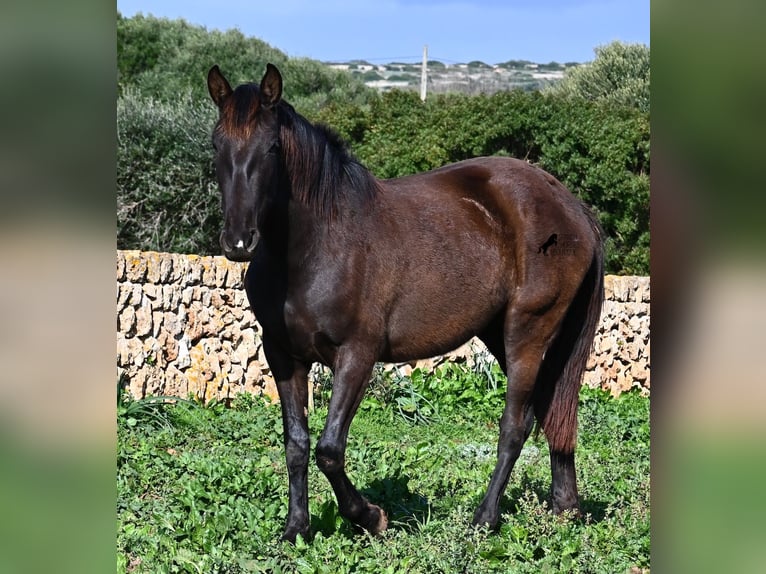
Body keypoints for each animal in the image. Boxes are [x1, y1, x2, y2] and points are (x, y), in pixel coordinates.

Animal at [207, 64, 604, 544]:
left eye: (271, 147)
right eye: (217, 144)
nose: (238, 241)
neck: (315, 245)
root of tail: (572, 207)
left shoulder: (356, 356)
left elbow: (329, 449)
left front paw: (371, 517)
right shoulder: (283, 356)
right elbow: (297, 444)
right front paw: (296, 529)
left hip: (527, 333)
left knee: (516, 425)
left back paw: (484, 519)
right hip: (500, 334)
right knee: (551, 410)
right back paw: (565, 509)